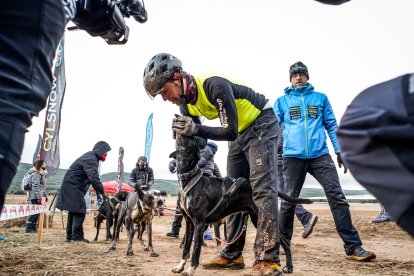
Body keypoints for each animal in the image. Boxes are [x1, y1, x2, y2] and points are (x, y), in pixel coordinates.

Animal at [171, 133, 310, 274]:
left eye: (191, 138)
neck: (189, 178)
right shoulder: (189, 223)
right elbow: (186, 248)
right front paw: (180, 266)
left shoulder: (199, 223)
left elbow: (195, 250)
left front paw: (190, 270)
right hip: (255, 217)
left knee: (285, 243)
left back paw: (289, 266)